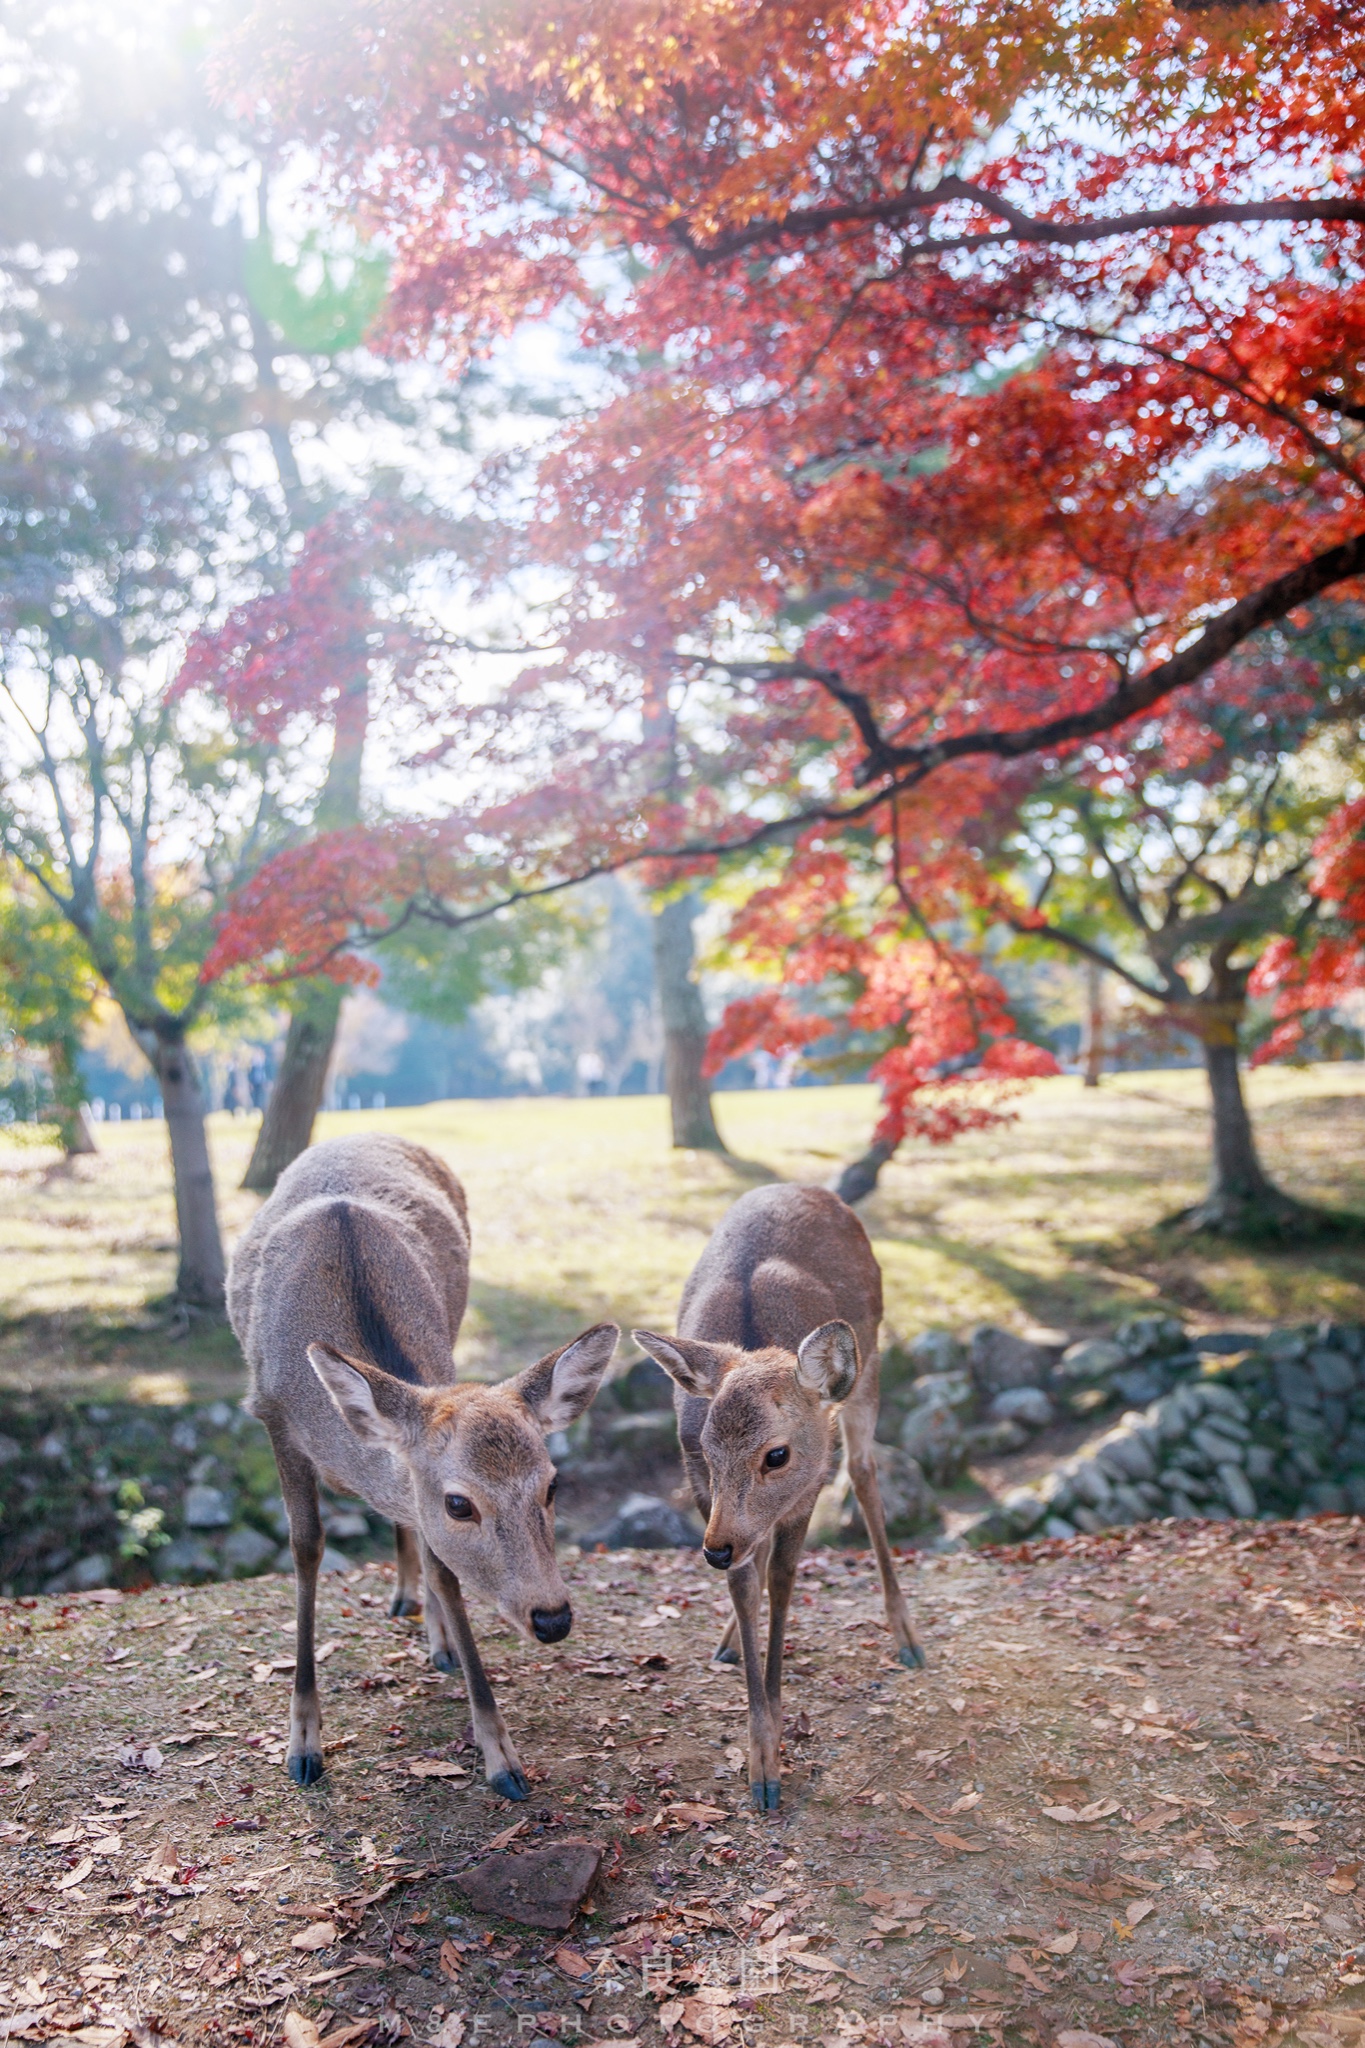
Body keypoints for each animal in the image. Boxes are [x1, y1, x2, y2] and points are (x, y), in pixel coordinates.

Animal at [231, 1138, 618, 1794]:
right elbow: (305, 1548)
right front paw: (303, 1744)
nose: (552, 1617)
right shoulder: (271, 1416)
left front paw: (501, 1756)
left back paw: (428, 1625)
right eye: (459, 1503)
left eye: (552, 1485)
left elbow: (444, 1571)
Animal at [634, 1187, 925, 1810]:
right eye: (704, 1447)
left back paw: (907, 1635)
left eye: (777, 1455)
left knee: (864, 1473)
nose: (713, 1550)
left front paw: (771, 1765)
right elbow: (746, 1584)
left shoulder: (805, 1490)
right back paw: (727, 1637)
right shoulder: (704, 1492)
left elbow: (785, 1579)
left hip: (868, 1370)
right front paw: (759, 1761)